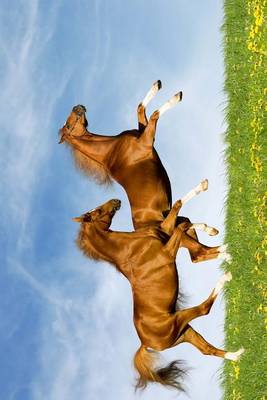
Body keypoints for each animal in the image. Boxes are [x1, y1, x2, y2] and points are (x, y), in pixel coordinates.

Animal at [58, 80, 214, 262]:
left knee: (197, 249)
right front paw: (177, 97)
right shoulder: (146, 140)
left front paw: (157, 85)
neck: (111, 151)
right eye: (69, 125)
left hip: (181, 226)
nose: (77, 107)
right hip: (177, 230)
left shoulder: (143, 132)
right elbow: (154, 114)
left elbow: (140, 108)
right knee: (199, 251)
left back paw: (211, 229)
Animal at [73, 198, 245, 392]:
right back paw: (226, 274)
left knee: (206, 350)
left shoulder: (165, 233)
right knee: (204, 309)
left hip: (185, 332)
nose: (115, 200)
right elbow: (180, 221)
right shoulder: (168, 252)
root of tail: (145, 342)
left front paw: (211, 230)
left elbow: (181, 223)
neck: (129, 249)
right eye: (96, 212)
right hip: (179, 320)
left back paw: (237, 354)